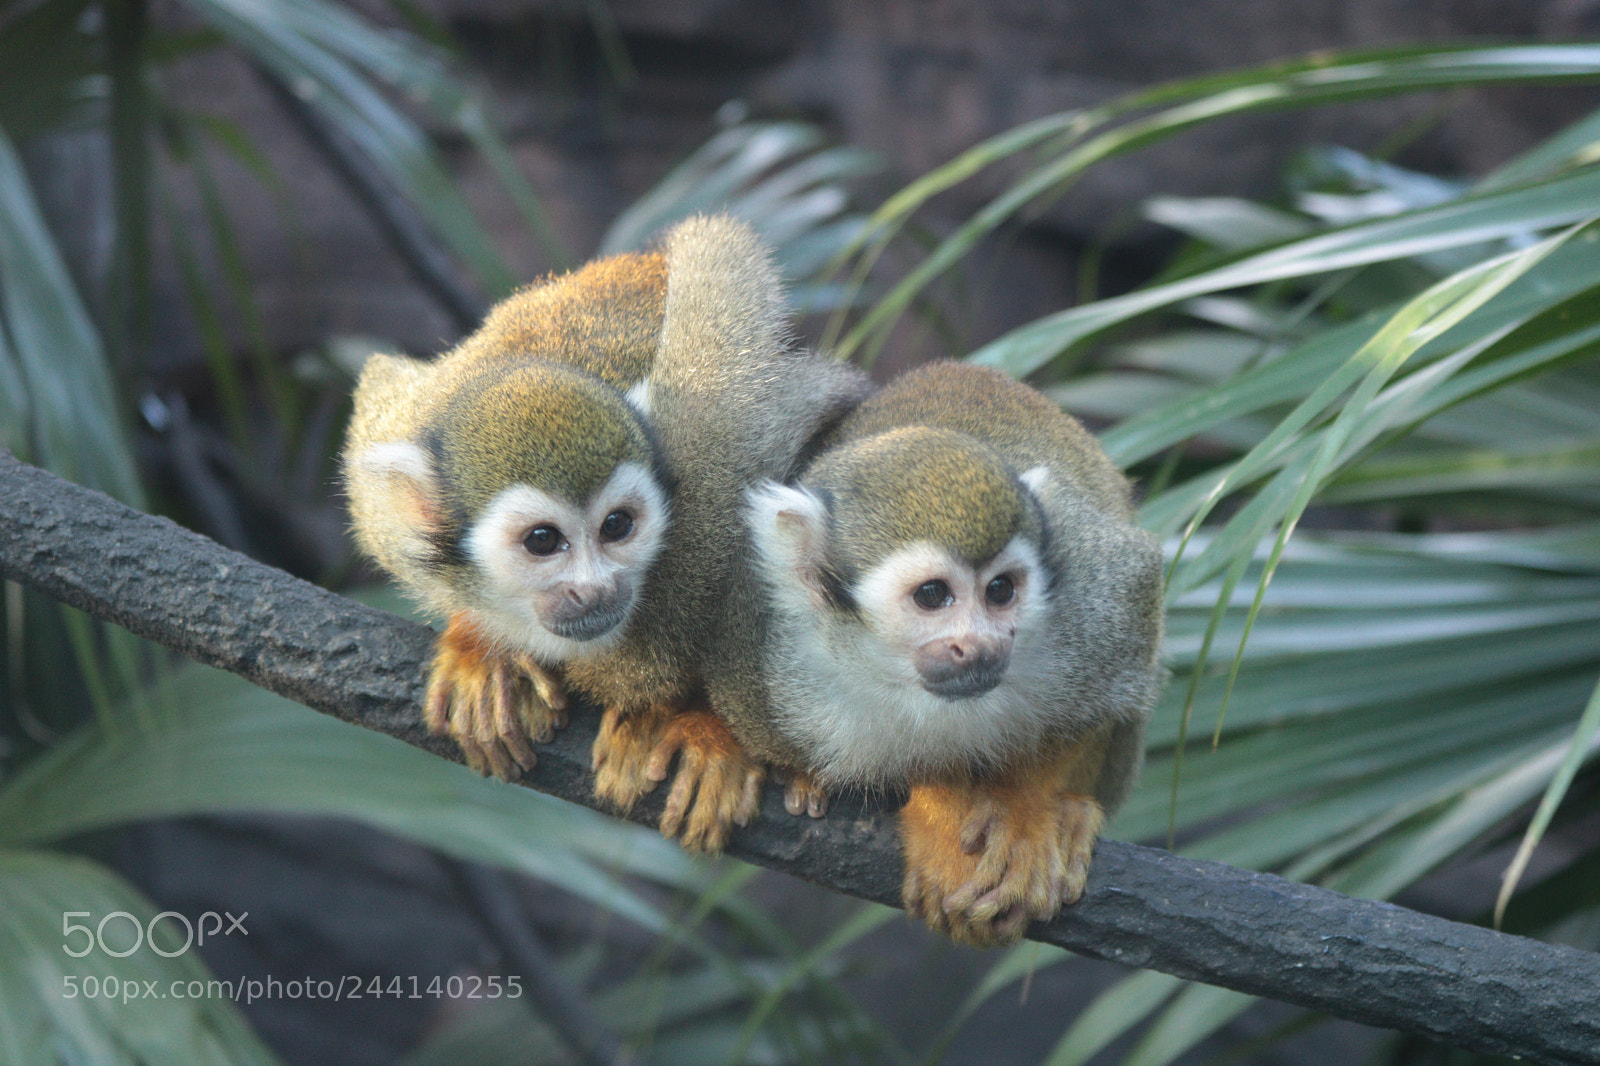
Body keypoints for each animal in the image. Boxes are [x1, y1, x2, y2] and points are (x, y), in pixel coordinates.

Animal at [343, 216, 870, 849]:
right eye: (543, 541)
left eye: (616, 526)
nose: (593, 589)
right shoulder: (387, 464)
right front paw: (482, 652)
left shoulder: (723, 448)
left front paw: (714, 734)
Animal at [734, 360, 1165, 945]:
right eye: (932, 595)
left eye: (1001, 590)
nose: (979, 644)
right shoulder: (769, 655)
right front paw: (940, 812)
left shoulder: (1091, 596)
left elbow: (1123, 644)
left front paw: (1026, 812)